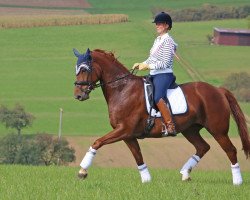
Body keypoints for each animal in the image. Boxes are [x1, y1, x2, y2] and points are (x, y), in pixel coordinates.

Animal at [73, 47, 249, 185]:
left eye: (84, 70)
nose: (78, 95)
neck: (122, 89)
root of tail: (218, 90)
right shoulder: (128, 135)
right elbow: (138, 155)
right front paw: (146, 179)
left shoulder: (124, 130)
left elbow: (97, 142)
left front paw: (82, 171)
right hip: (190, 129)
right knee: (203, 147)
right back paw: (185, 174)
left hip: (218, 130)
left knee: (231, 150)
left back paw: (237, 181)